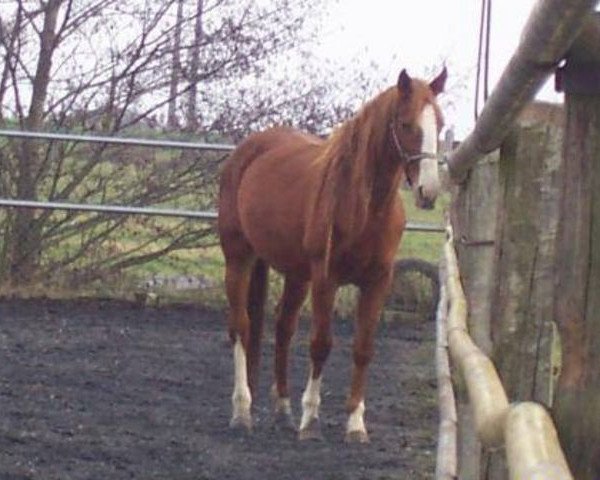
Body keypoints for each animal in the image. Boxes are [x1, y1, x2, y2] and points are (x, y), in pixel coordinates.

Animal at [218, 67, 448, 442]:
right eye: (405, 124)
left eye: (439, 125)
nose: (428, 192)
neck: (363, 207)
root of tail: (247, 150)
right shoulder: (326, 279)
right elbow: (321, 344)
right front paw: (311, 420)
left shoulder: (378, 282)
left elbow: (363, 349)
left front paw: (355, 424)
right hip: (239, 257)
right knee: (241, 326)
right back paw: (242, 411)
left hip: (296, 274)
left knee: (283, 328)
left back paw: (283, 410)